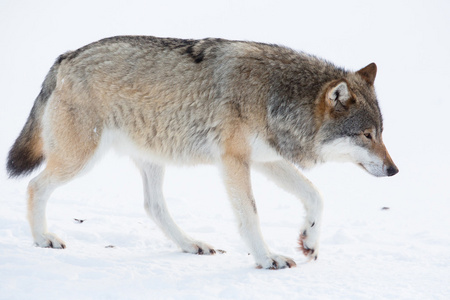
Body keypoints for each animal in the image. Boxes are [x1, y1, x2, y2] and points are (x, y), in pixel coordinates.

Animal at [6, 35, 398, 270]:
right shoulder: (234, 161)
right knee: (34, 186)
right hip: (80, 158)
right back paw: (42, 239)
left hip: (153, 159)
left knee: (153, 206)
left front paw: (309, 242)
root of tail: (66, 57)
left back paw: (191, 245)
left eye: (381, 134)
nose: (394, 171)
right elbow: (251, 216)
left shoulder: (266, 159)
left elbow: (315, 195)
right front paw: (267, 259)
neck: (274, 96)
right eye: (366, 135)